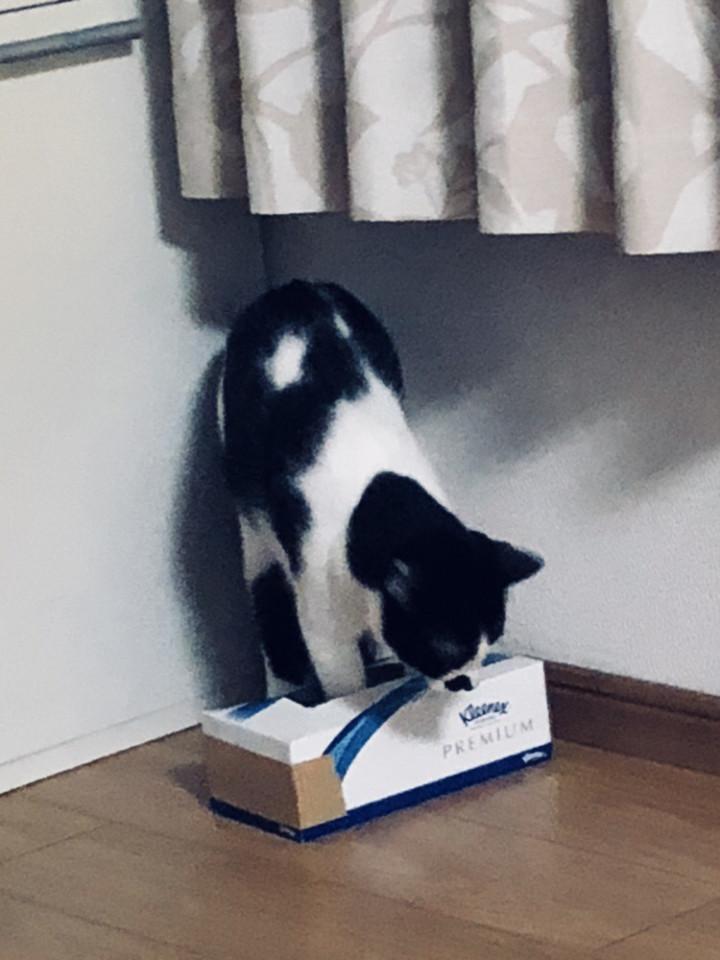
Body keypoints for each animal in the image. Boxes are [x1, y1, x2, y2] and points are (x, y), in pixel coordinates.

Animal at [218, 280, 543, 701]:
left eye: (492, 641)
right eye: (447, 650)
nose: (466, 683)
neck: (374, 496)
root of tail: (295, 286)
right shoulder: (325, 629)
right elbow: (343, 680)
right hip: (253, 529)